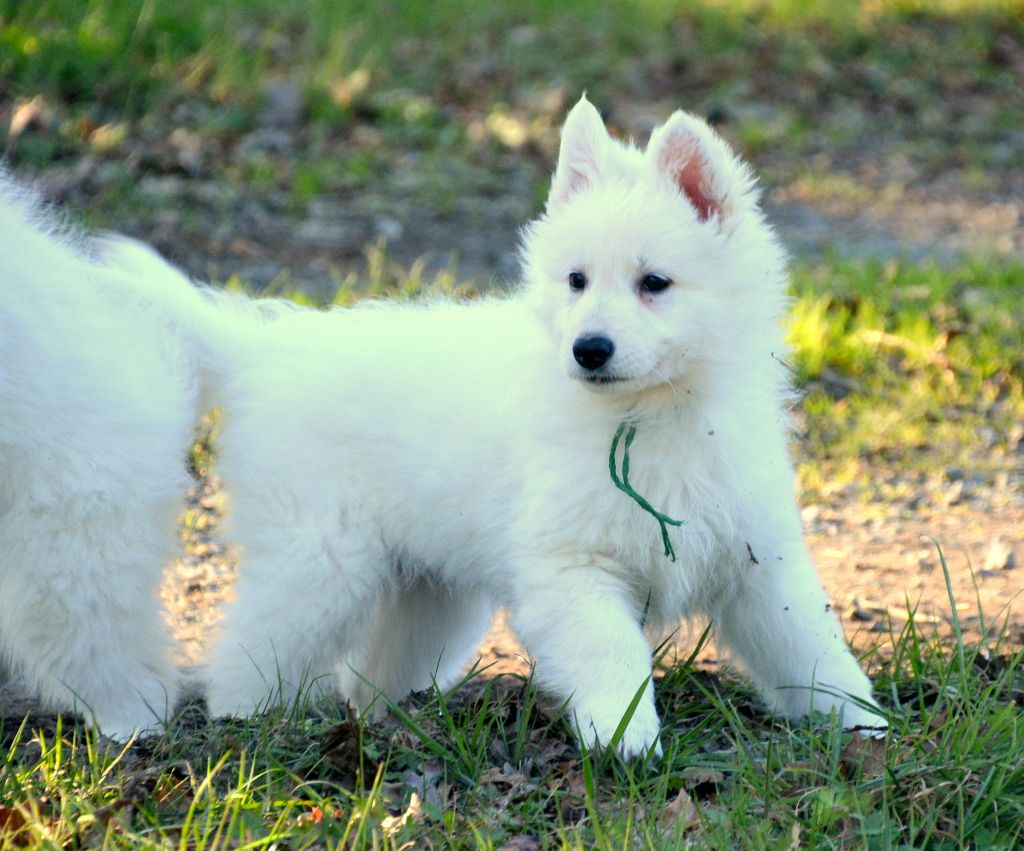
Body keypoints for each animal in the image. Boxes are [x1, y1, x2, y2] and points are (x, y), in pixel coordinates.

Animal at [202, 96, 886, 757]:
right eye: (577, 281)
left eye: (655, 283)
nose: (589, 349)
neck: (650, 415)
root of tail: (265, 346)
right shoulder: (572, 568)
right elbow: (614, 654)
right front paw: (624, 738)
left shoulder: (757, 559)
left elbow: (809, 642)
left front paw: (864, 724)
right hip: (317, 563)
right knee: (248, 655)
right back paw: (242, 729)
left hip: (427, 592)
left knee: (368, 669)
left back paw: (382, 724)